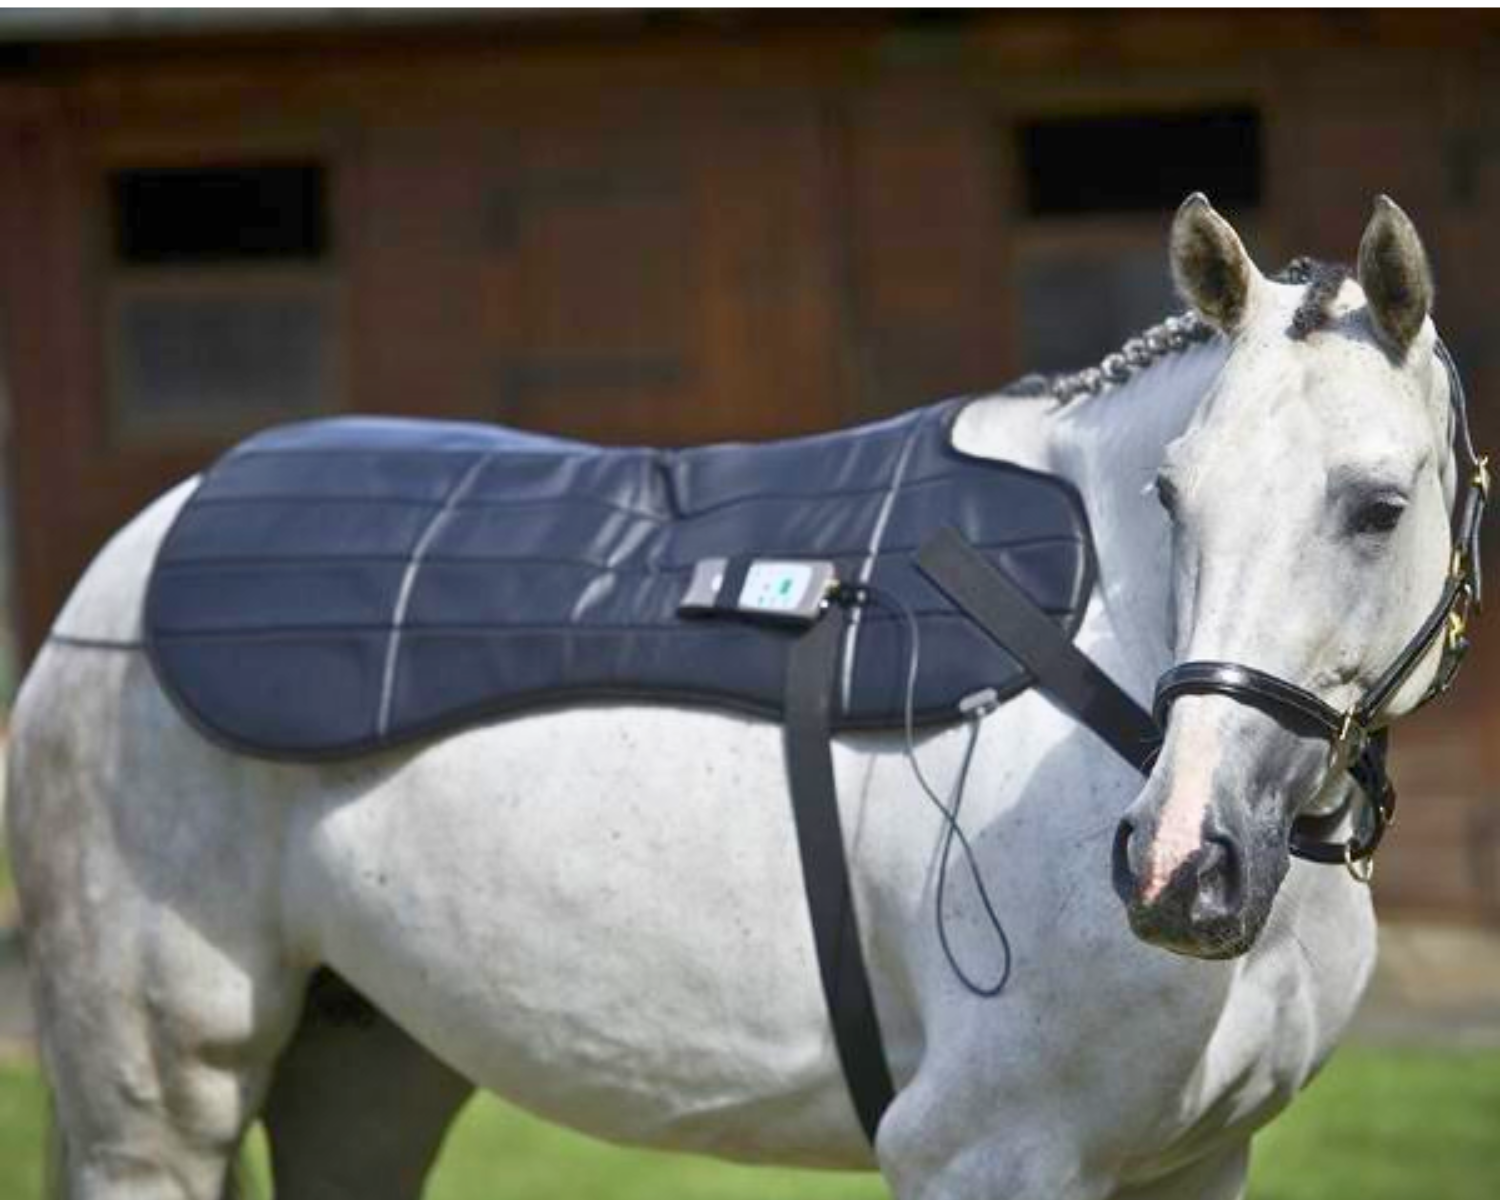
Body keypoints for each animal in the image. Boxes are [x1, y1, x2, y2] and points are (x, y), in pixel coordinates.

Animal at [4, 193, 1478, 1200]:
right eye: (1171, 496)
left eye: (1377, 506)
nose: (1180, 862)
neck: (1097, 666)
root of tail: (126, 569)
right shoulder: (989, 1152)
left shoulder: (1194, 1162)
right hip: (159, 1095)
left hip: (366, 1067)